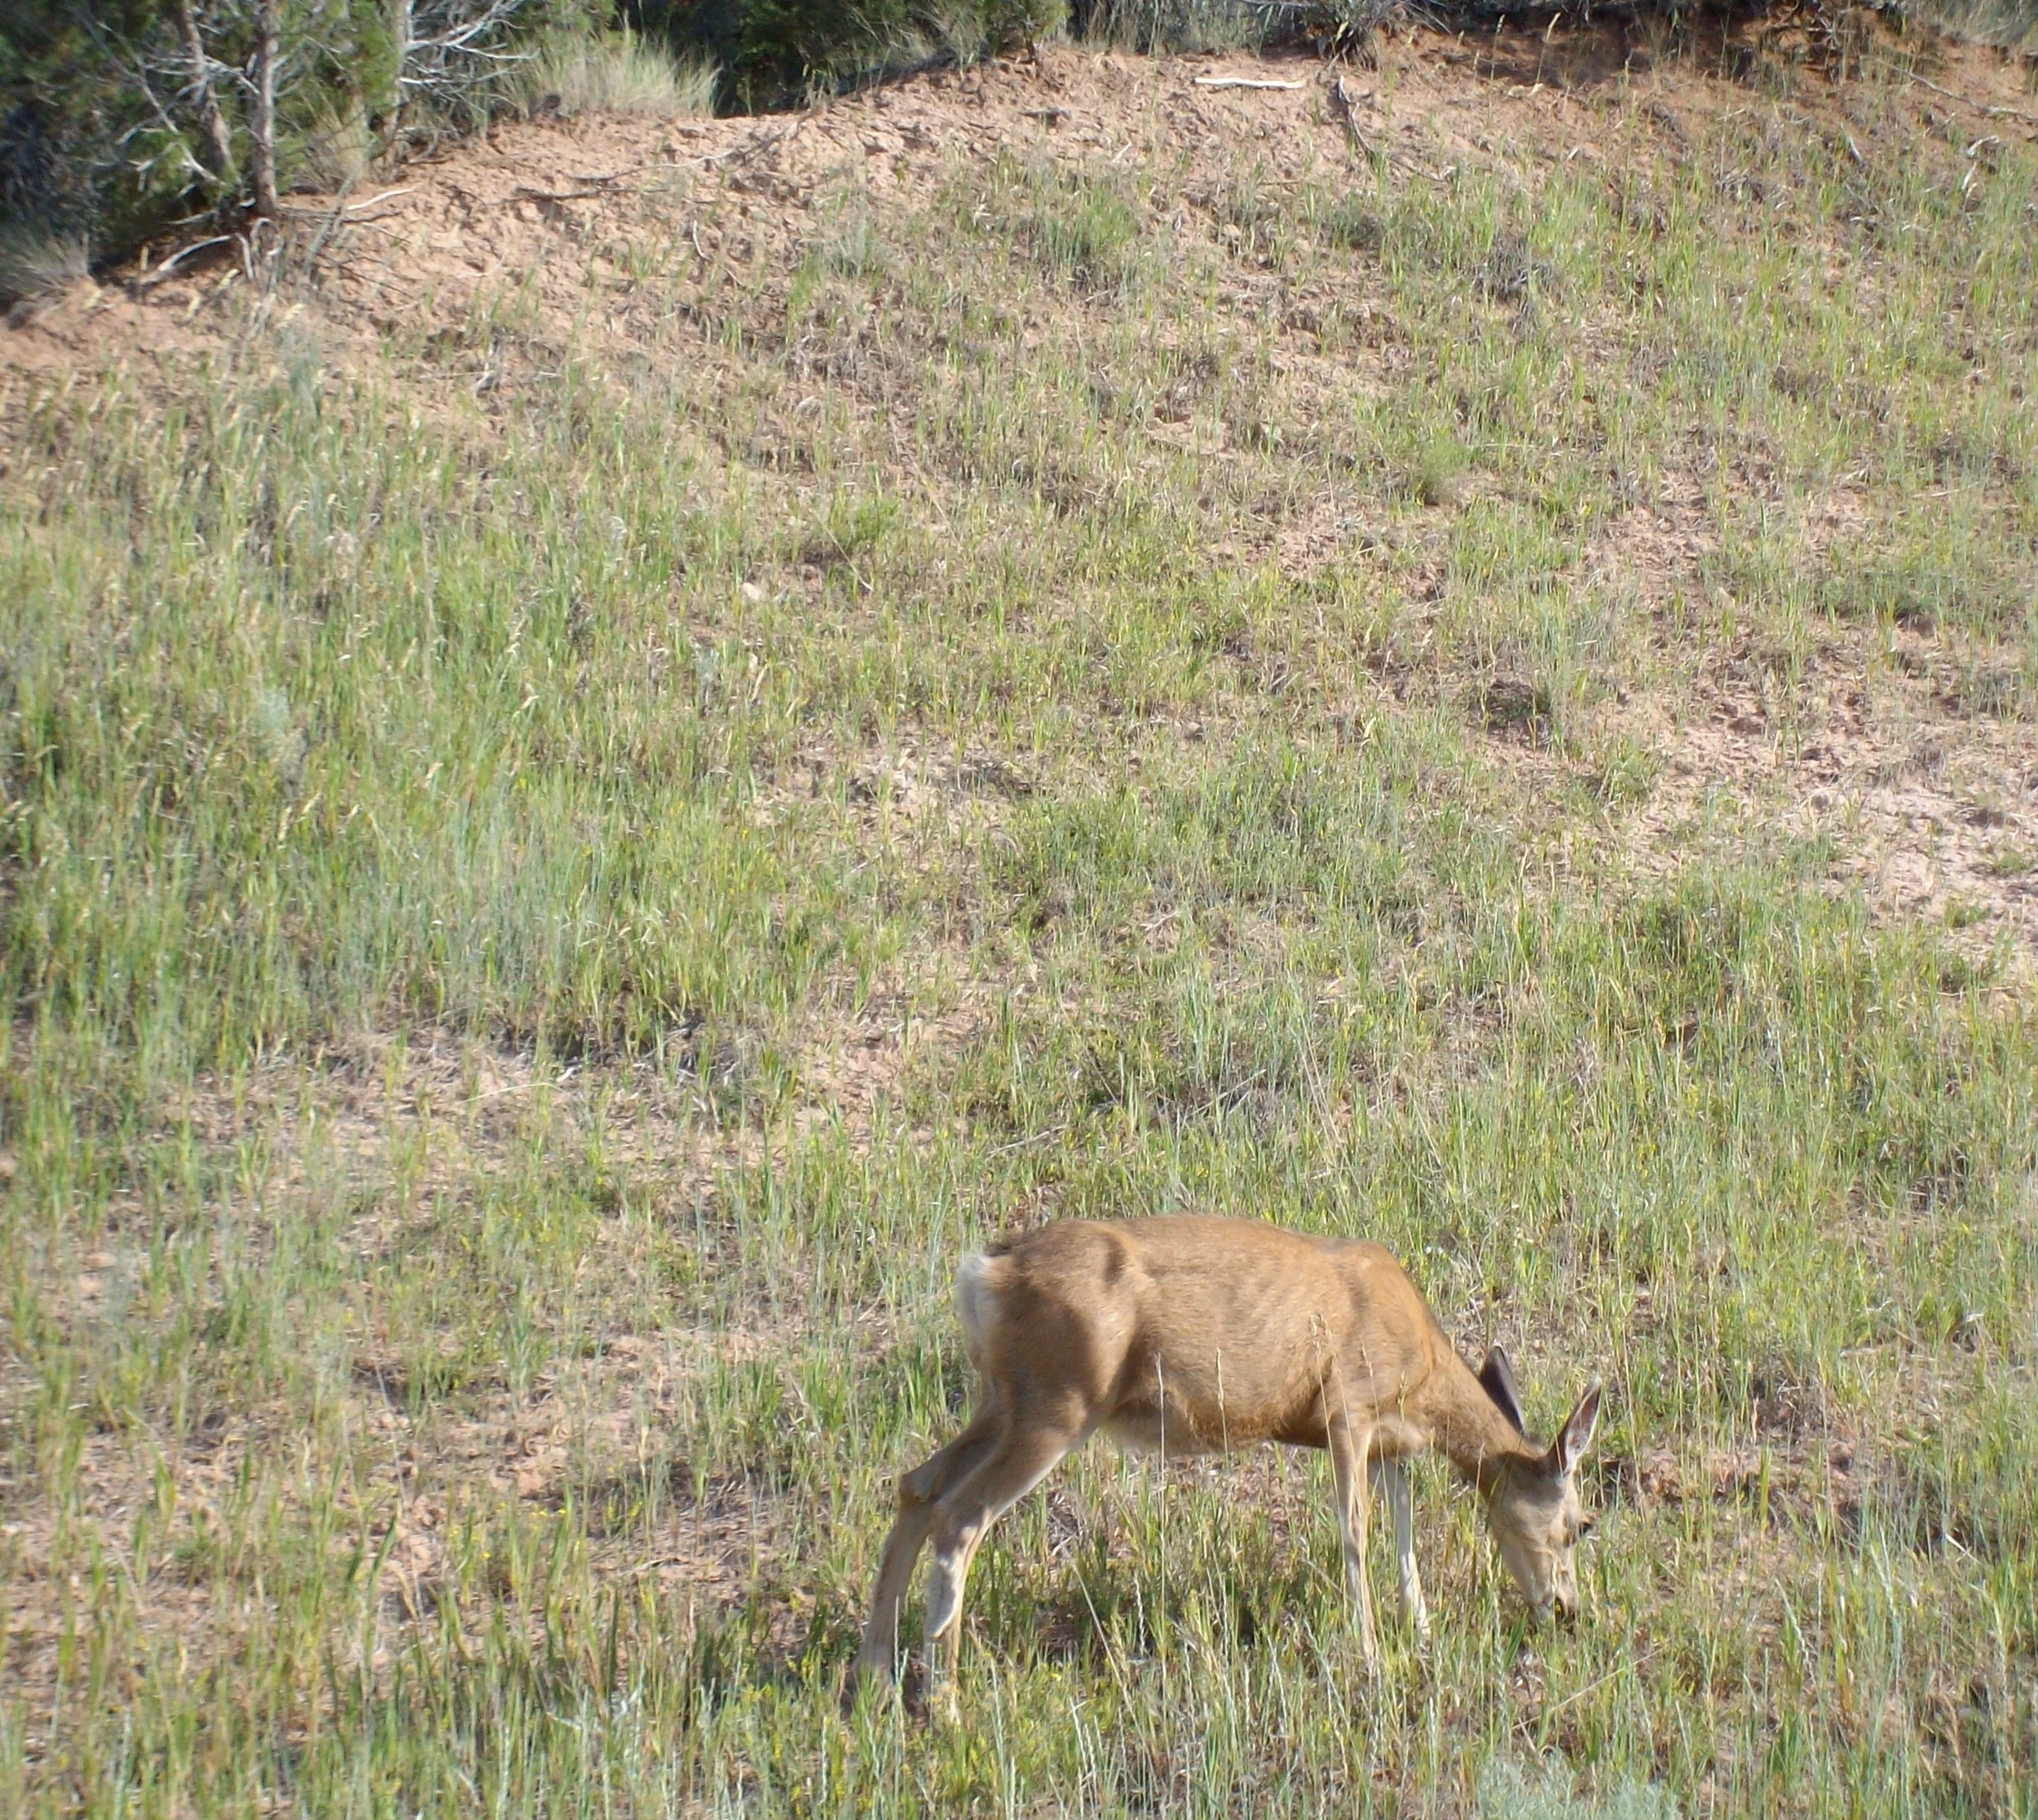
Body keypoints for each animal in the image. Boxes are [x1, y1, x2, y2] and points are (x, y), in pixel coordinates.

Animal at [854, 1214, 1603, 1694]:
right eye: (1580, 1525)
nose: (1567, 1609)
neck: (1423, 1365)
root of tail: (985, 1270)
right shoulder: (1349, 1407)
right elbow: (1356, 1531)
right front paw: (1369, 1657)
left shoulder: (1389, 1441)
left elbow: (1404, 1533)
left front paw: (1418, 1633)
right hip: (1057, 1402)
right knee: (961, 1516)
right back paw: (944, 1700)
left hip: (1003, 1399)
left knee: (917, 1485)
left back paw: (875, 1675)